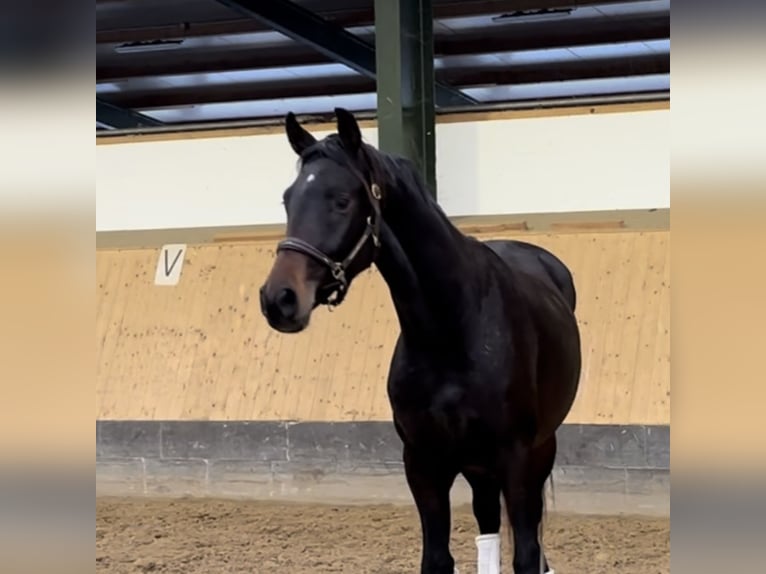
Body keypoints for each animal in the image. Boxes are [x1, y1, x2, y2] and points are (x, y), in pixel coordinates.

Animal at [260, 109, 584, 574]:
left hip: (537, 452)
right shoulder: (423, 463)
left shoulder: (517, 458)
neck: (451, 331)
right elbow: (436, 558)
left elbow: (526, 555)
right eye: (289, 200)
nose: (279, 299)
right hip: (477, 465)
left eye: (341, 200)